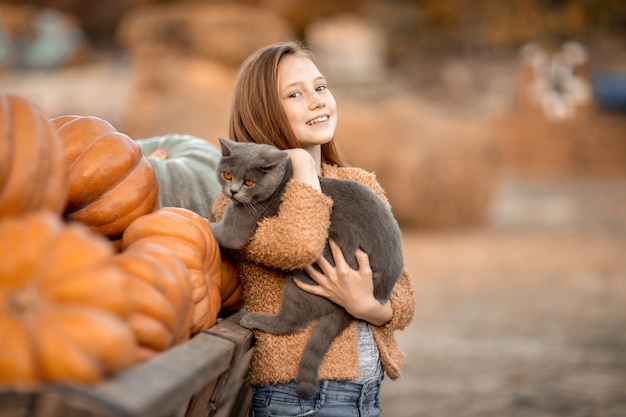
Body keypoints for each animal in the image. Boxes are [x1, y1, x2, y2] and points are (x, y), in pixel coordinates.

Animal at [210, 136, 404, 396]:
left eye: (249, 182)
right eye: (227, 175)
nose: (232, 191)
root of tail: (375, 295)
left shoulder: (238, 227)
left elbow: (216, 229)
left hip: (305, 276)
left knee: (292, 322)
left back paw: (254, 319)